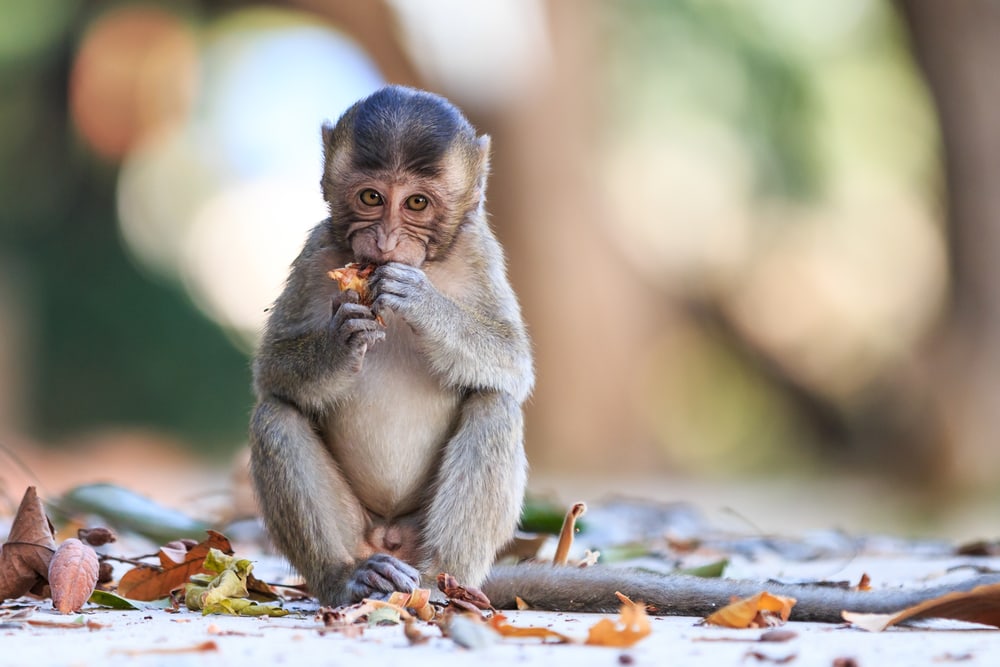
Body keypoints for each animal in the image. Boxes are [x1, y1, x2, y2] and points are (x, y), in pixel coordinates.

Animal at [250, 85, 1000, 622]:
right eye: (370, 196)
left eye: (416, 204)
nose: (384, 244)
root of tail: (397, 547)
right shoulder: (320, 249)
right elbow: (274, 372)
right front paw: (344, 334)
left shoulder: (481, 251)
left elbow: (513, 364)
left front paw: (418, 301)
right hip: (364, 533)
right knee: (277, 415)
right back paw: (352, 577)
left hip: (430, 538)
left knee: (494, 406)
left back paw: (436, 586)